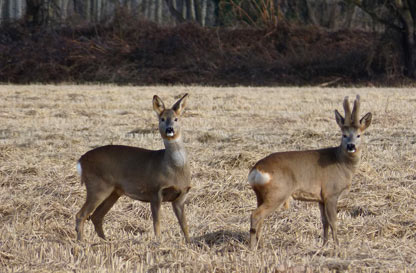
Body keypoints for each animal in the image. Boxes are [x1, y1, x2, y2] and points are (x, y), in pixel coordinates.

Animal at [75, 93, 192, 240]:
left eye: (176, 119)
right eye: (162, 119)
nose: (169, 129)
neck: (174, 169)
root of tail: (81, 160)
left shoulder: (181, 196)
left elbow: (184, 225)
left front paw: (189, 242)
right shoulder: (155, 191)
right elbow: (157, 223)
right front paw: (158, 241)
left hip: (114, 191)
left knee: (96, 216)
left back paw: (106, 241)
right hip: (97, 185)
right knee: (81, 215)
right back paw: (82, 242)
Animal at [249, 94, 372, 248]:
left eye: (359, 135)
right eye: (344, 134)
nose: (351, 146)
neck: (341, 163)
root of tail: (256, 170)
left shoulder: (320, 198)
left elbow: (324, 222)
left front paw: (324, 245)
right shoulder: (331, 193)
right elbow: (333, 222)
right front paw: (337, 246)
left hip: (261, 195)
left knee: (260, 218)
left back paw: (261, 245)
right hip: (278, 193)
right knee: (256, 215)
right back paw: (253, 248)